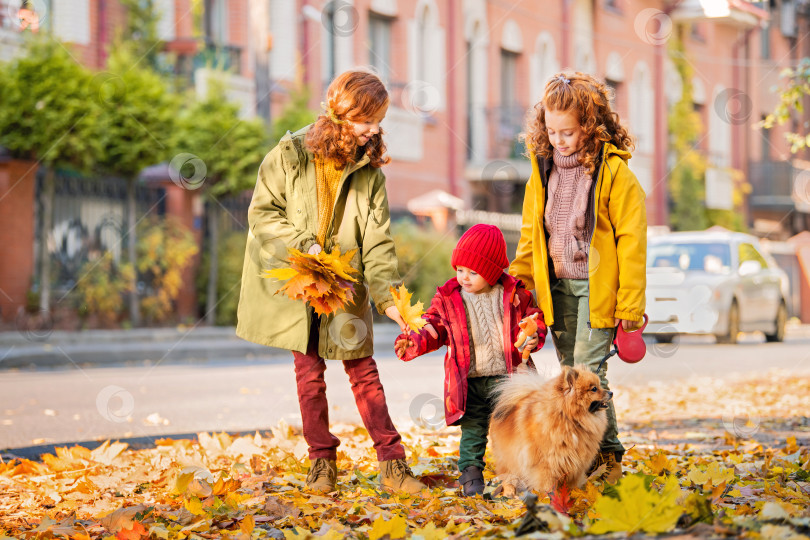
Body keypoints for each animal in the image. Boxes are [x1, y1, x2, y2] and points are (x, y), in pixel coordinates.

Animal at [486, 364, 612, 496]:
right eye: (594, 389)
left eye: (599, 386)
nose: (611, 392)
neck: (568, 418)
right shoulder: (547, 465)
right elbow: (547, 486)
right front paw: (548, 498)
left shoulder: (576, 465)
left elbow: (572, 485)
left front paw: (574, 496)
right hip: (508, 456)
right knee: (507, 475)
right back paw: (509, 492)